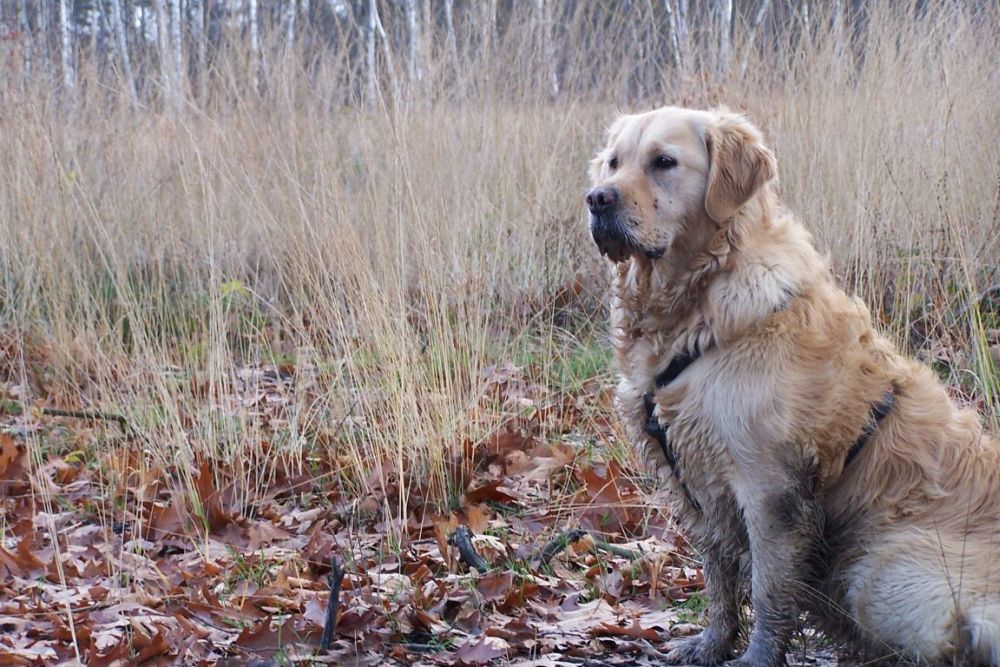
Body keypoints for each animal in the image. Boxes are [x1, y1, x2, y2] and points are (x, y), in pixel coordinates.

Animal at [584, 107, 1000, 664]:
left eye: (664, 162)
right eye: (613, 162)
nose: (597, 198)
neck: (698, 308)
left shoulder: (769, 486)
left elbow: (767, 586)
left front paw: (759, 656)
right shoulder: (696, 481)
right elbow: (718, 576)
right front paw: (712, 643)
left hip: (881, 572)